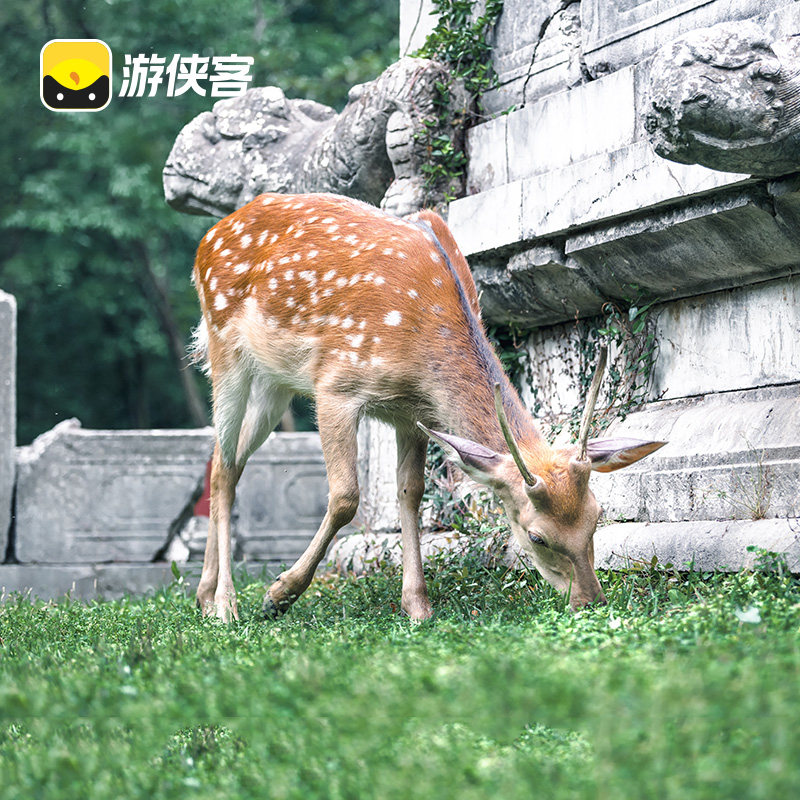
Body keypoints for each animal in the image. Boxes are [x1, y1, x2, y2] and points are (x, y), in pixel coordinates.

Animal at [190, 191, 665, 622]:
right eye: (537, 537)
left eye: (597, 517)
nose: (591, 601)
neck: (421, 352)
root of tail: (208, 237)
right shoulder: (336, 384)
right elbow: (345, 497)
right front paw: (280, 594)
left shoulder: (412, 414)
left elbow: (411, 493)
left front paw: (417, 605)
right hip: (223, 346)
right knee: (225, 465)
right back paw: (227, 605)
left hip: (276, 382)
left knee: (226, 459)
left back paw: (204, 595)